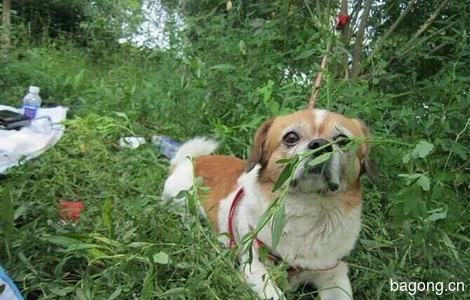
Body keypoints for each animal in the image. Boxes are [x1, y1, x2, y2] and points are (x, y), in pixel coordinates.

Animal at [163, 108, 372, 300]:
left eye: (343, 140)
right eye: (291, 137)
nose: (320, 145)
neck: (307, 209)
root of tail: (192, 160)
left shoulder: (333, 272)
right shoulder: (255, 267)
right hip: (182, 200)